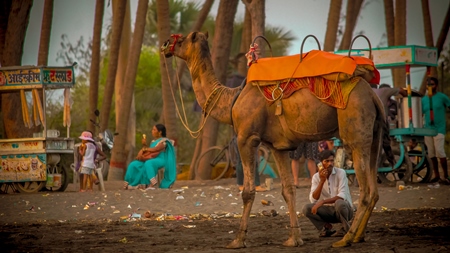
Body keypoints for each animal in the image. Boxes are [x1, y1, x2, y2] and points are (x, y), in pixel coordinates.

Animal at [162, 31, 390, 247]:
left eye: (181, 39)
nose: (165, 44)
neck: (232, 100)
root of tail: (373, 95)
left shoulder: (246, 138)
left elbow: (248, 191)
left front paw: (238, 240)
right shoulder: (278, 147)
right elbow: (288, 190)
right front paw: (294, 238)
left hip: (356, 127)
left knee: (365, 190)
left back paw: (346, 239)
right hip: (374, 135)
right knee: (374, 188)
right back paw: (358, 236)